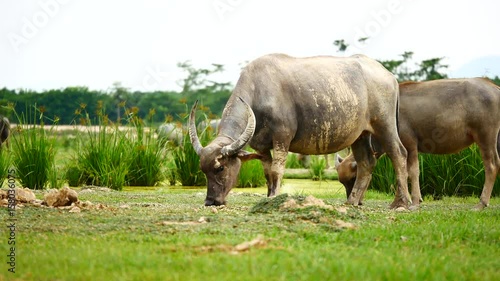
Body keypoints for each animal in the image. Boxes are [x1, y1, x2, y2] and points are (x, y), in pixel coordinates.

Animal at [336, 77, 500, 209]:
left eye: (353, 178)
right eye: (343, 182)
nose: (355, 200)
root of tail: (494, 87)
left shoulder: (410, 145)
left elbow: (412, 172)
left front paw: (413, 202)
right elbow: (402, 171)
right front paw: (401, 201)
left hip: (485, 136)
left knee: (491, 165)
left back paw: (481, 203)